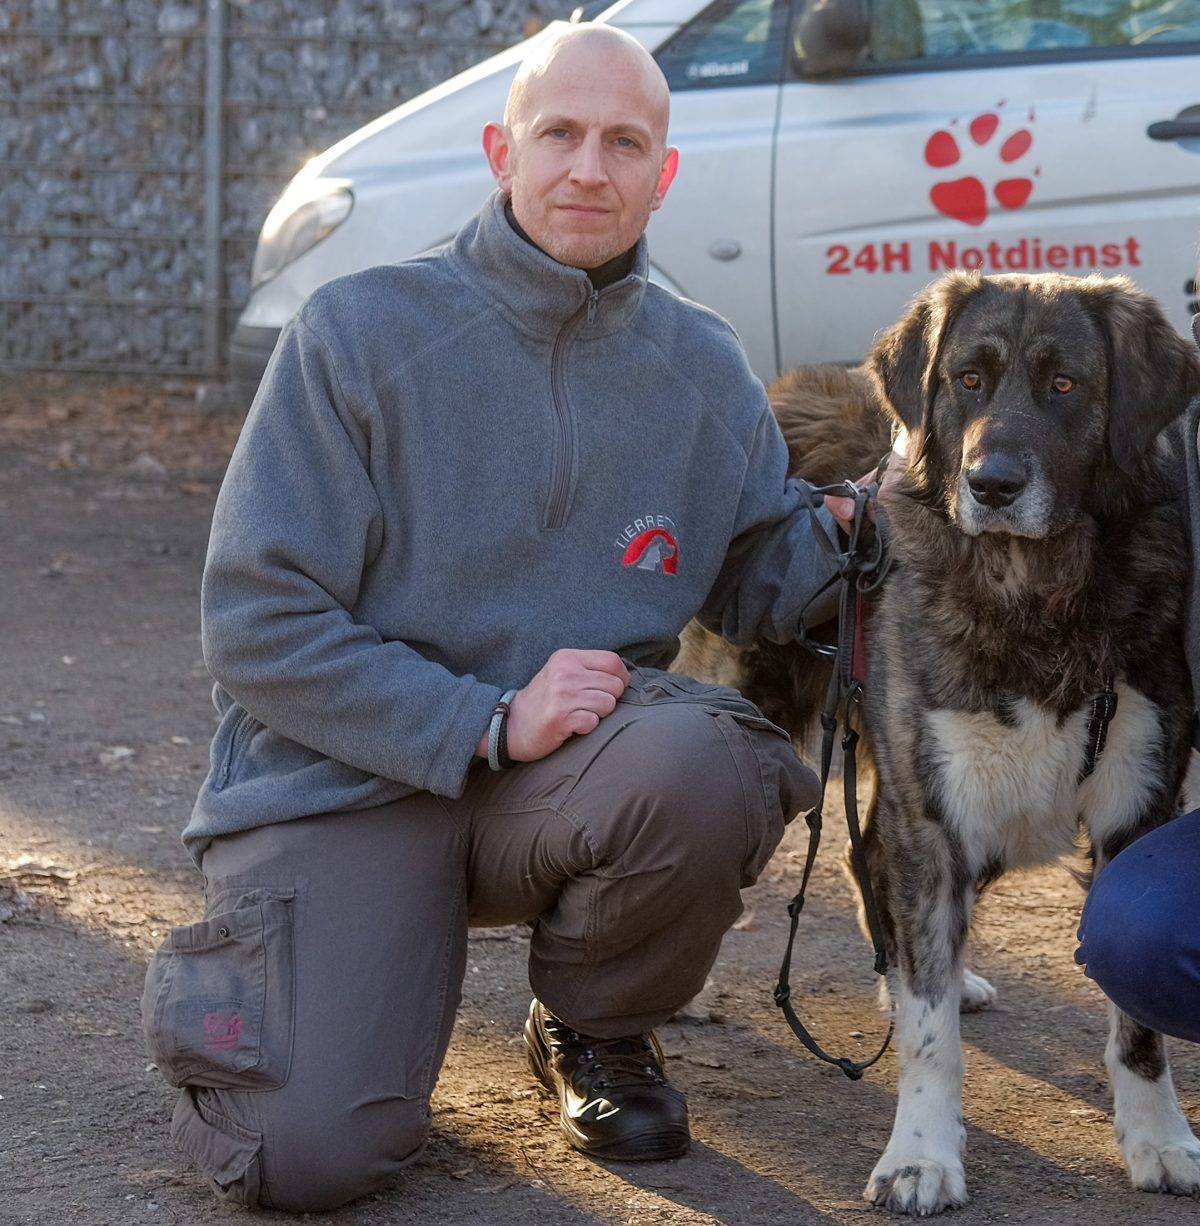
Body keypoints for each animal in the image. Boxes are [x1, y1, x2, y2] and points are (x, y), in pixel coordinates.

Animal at [681, 273, 1200, 1211]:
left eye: (1064, 384)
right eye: (968, 380)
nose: (990, 485)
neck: (1033, 593)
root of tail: (781, 389)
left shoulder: (1135, 808)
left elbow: (1137, 1026)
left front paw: (1158, 1137)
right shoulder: (934, 810)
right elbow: (932, 1040)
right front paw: (920, 1154)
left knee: (867, 863)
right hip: (756, 718)